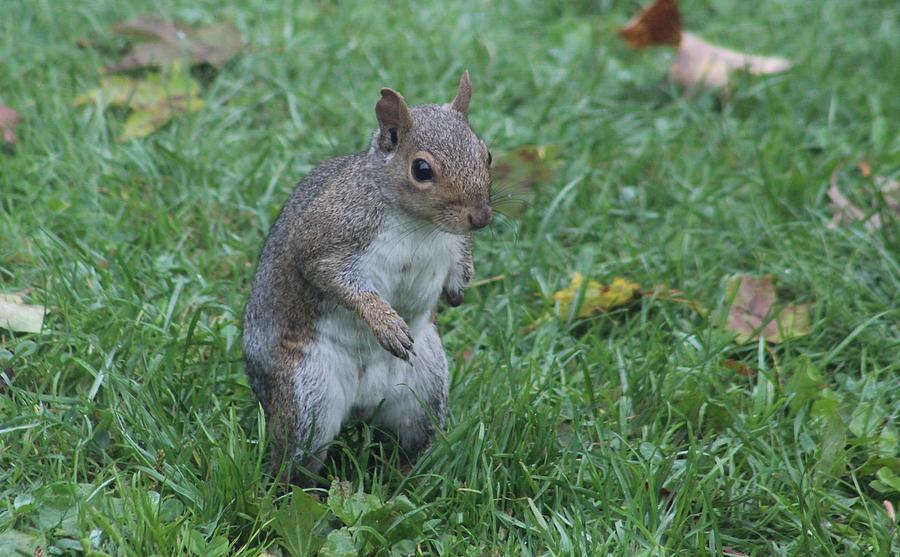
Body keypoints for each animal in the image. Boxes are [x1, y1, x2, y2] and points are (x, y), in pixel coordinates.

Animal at [241, 71, 492, 480]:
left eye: (486, 154)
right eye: (422, 169)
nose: (481, 218)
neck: (418, 225)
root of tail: (362, 405)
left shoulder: (455, 243)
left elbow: (462, 259)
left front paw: (458, 291)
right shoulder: (329, 238)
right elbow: (338, 281)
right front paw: (386, 324)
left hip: (425, 390)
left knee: (414, 439)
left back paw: (410, 474)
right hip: (307, 394)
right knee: (296, 460)